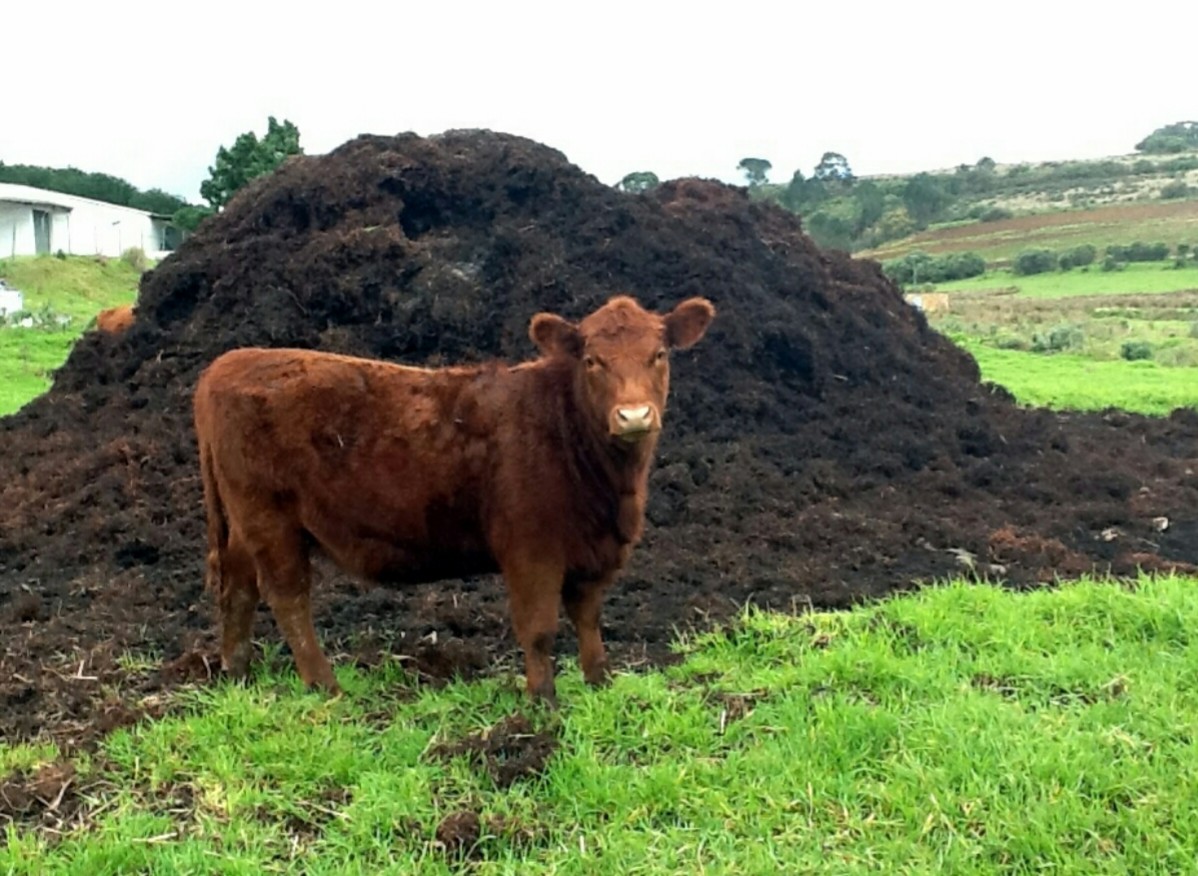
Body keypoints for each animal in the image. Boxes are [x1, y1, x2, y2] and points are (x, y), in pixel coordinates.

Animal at [192, 294, 714, 704]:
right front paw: (543, 702)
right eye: (592, 361)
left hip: (245, 523)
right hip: (270, 518)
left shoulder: (592, 552)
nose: (633, 416)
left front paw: (599, 684)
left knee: (239, 587)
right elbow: (539, 628)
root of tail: (228, 362)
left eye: (659, 354)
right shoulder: (531, 549)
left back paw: (237, 674)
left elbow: (588, 618)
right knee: (287, 596)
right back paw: (327, 687)